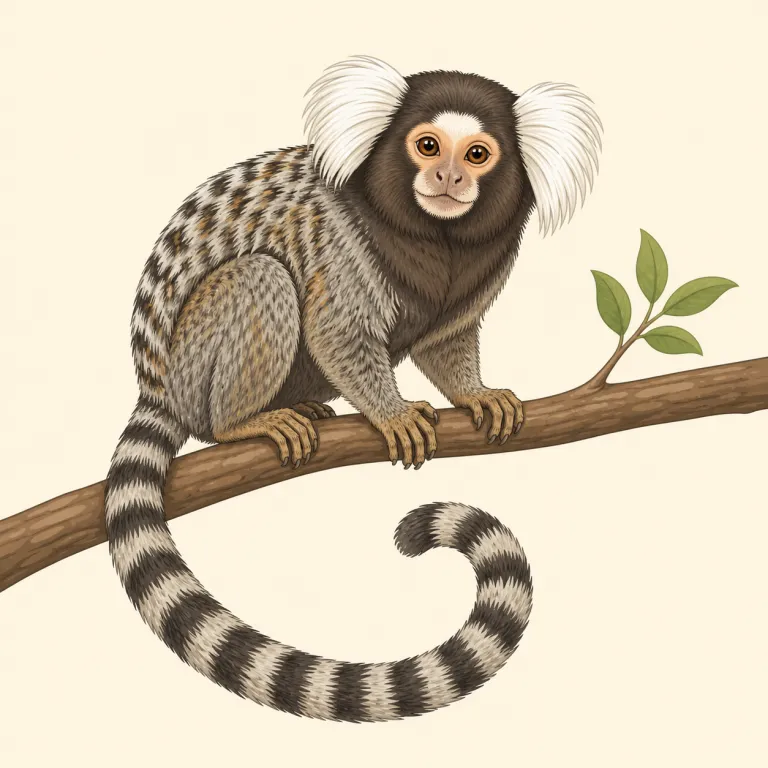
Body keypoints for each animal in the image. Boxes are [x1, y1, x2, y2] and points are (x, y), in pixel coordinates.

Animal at [104, 55, 602, 722]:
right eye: (427, 146)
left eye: (477, 154)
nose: (447, 177)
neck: (434, 237)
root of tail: (155, 384)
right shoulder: (344, 247)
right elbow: (337, 330)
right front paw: (392, 414)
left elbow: (446, 340)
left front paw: (474, 394)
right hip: (193, 363)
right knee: (262, 276)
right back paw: (242, 423)